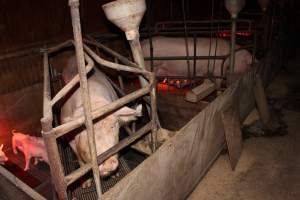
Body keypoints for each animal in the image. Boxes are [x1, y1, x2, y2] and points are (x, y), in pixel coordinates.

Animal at [60, 54, 142, 188]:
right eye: (85, 132)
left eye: (113, 126)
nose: (108, 162)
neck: (93, 103)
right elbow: (80, 160)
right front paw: (86, 185)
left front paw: (115, 175)